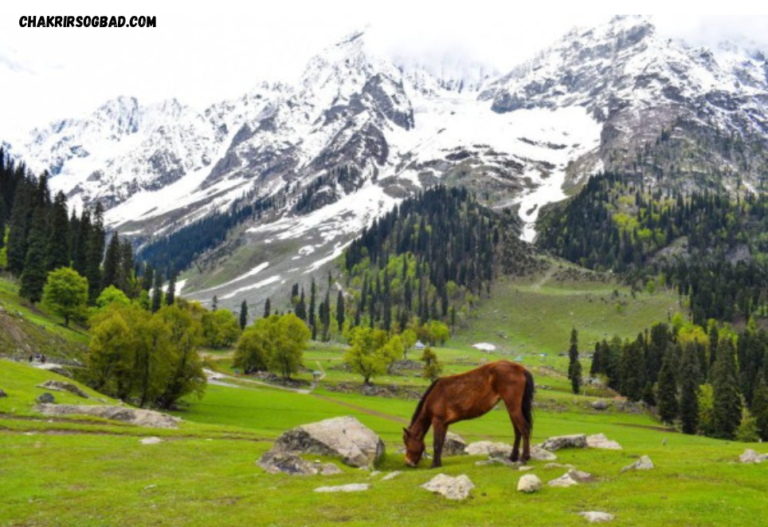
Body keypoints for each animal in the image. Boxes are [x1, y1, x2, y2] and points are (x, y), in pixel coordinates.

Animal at [402, 360, 536, 468]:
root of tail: (521, 369)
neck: (435, 395)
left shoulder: (437, 421)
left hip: (513, 407)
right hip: (512, 408)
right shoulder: (444, 424)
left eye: (407, 442)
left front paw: (434, 464)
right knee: (517, 430)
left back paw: (524, 458)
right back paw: (513, 457)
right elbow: (441, 443)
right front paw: (438, 463)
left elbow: (436, 443)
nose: (408, 462)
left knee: (524, 429)